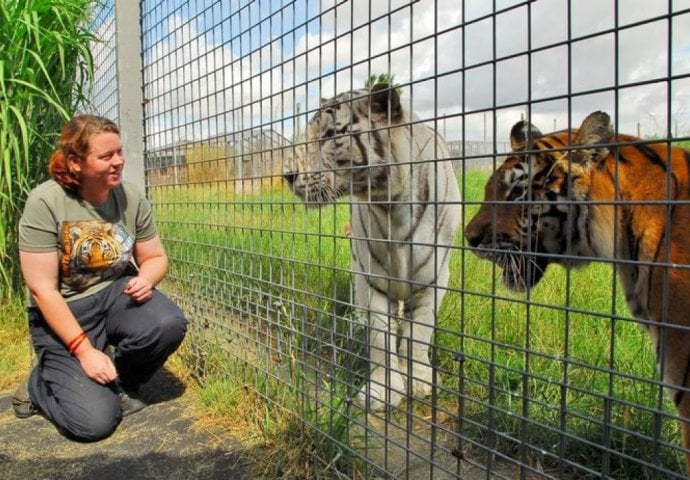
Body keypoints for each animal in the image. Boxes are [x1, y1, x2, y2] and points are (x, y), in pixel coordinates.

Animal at [282, 84, 460, 410]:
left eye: (330, 135)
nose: (287, 175)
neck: (391, 207)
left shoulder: (433, 280)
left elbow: (420, 332)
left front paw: (420, 382)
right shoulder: (375, 278)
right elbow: (380, 338)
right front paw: (381, 391)